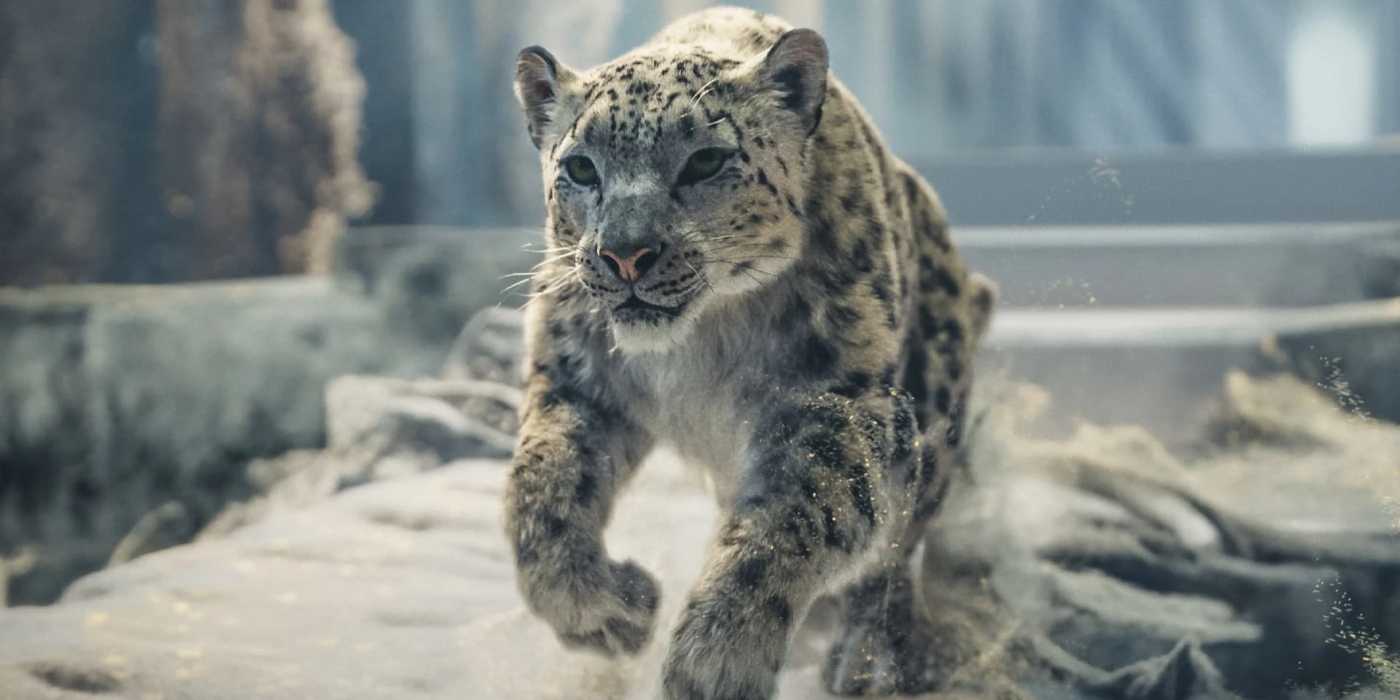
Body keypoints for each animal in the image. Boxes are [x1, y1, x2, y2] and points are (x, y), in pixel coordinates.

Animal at [505, 7, 997, 699]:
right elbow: (540, 488)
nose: (626, 254)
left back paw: (870, 661)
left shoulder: (837, 406)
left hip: (933, 401)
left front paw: (715, 660)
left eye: (706, 161)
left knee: (897, 550)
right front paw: (609, 611)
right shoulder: (577, 379)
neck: (697, 344)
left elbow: (793, 520)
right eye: (579, 168)